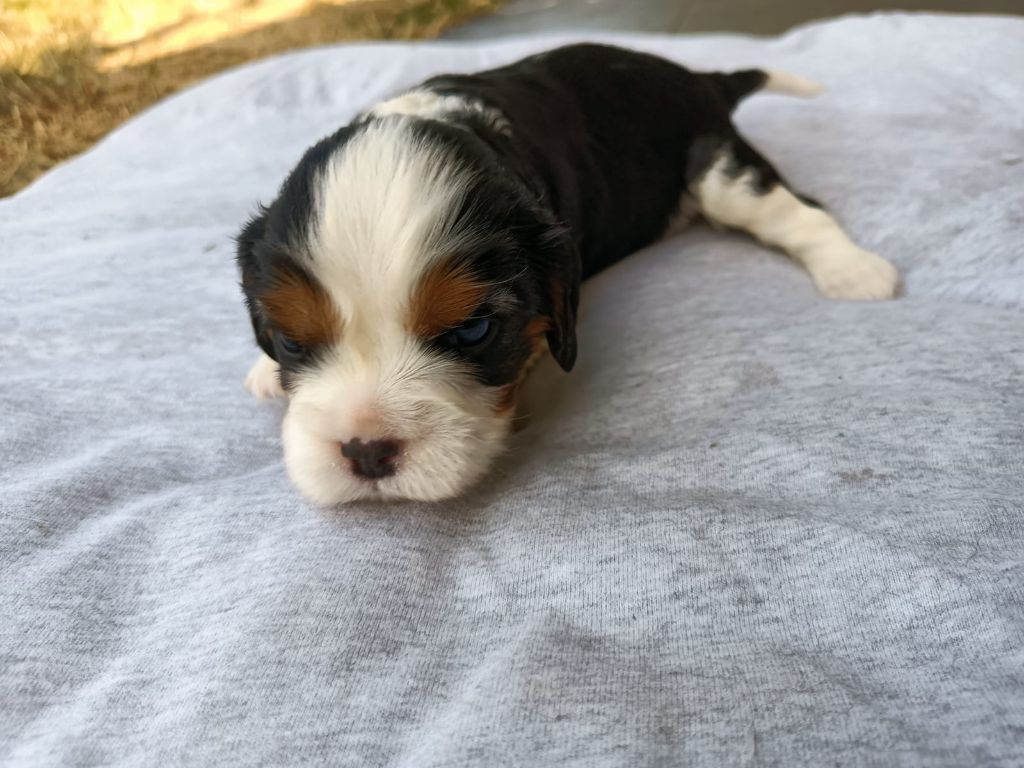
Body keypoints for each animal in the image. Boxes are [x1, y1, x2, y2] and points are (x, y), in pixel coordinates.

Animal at [236, 43, 900, 505]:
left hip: (721, 170)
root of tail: (698, 78)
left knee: (797, 209)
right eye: (291, 340)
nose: (367, 451)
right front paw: (265, 372)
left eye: (473, 331)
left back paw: (854, 271)